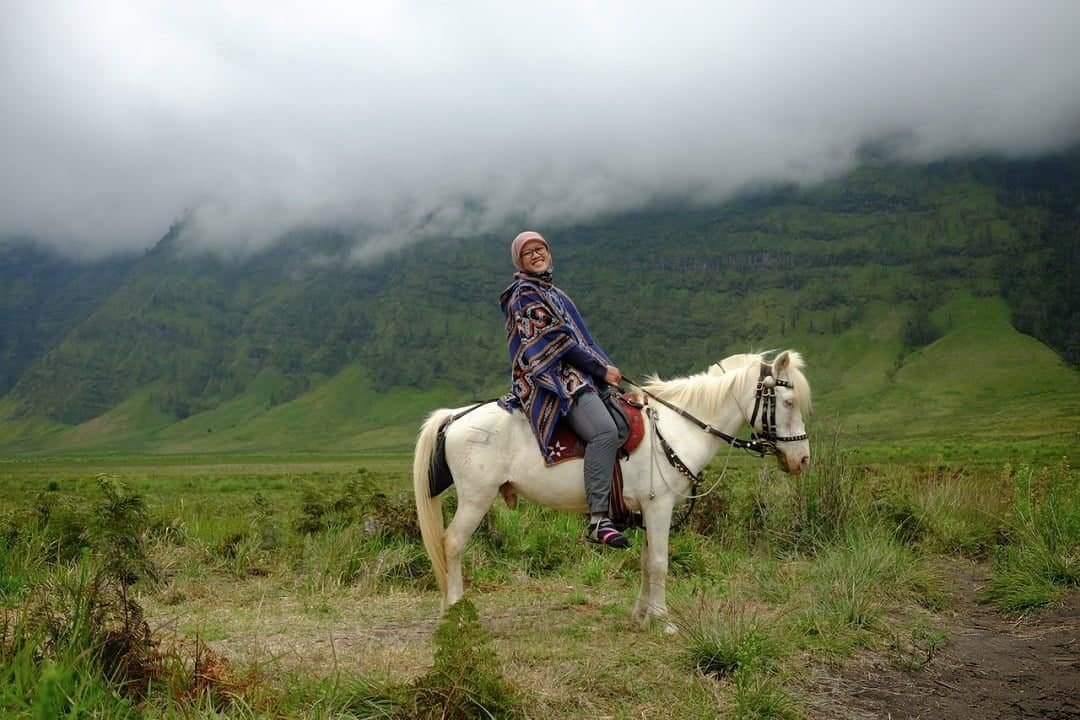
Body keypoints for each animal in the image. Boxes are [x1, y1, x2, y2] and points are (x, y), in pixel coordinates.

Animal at [412, 349, 812, 630]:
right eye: (788, 402)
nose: (802, 459)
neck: (678, 427)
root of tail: (456, 416)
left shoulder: (647, 510)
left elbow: (646, 562)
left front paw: (642, 615)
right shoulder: (659, 506)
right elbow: (660, 562)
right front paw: (663, 620)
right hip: (475, 499)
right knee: (452, 545)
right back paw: (454, 613)